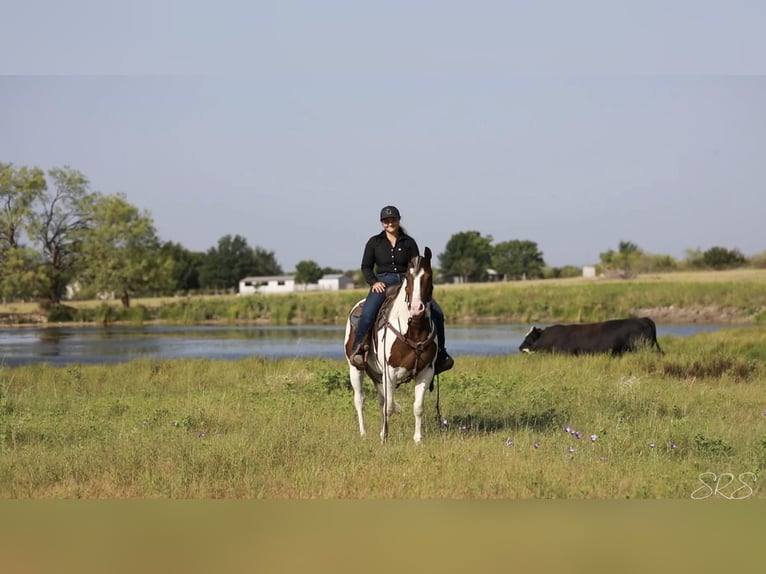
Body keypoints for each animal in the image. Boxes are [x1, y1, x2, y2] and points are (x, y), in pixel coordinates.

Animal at [343, 246, 438, 443]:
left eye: (429, 276)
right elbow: (389, 408)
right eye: (408, 277)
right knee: (360, 400)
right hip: (355, 368)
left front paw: (418, 439)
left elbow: (418, 407)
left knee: (381, 400)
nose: (417, 309)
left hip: (377, 374)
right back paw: (363, 433)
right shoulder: (390, 372)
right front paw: (384, 439)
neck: (414, 330)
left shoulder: (426, 371)